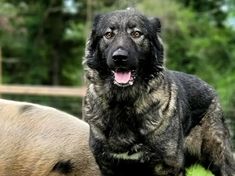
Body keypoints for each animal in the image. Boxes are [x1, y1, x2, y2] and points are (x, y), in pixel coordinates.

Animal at [82, 8, 235, 176]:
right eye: (109, 35)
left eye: (136, 34)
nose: (119, 58)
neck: (124, 102)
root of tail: (210, 88)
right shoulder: (107, 165)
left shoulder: (167, 167)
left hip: (220, 160)